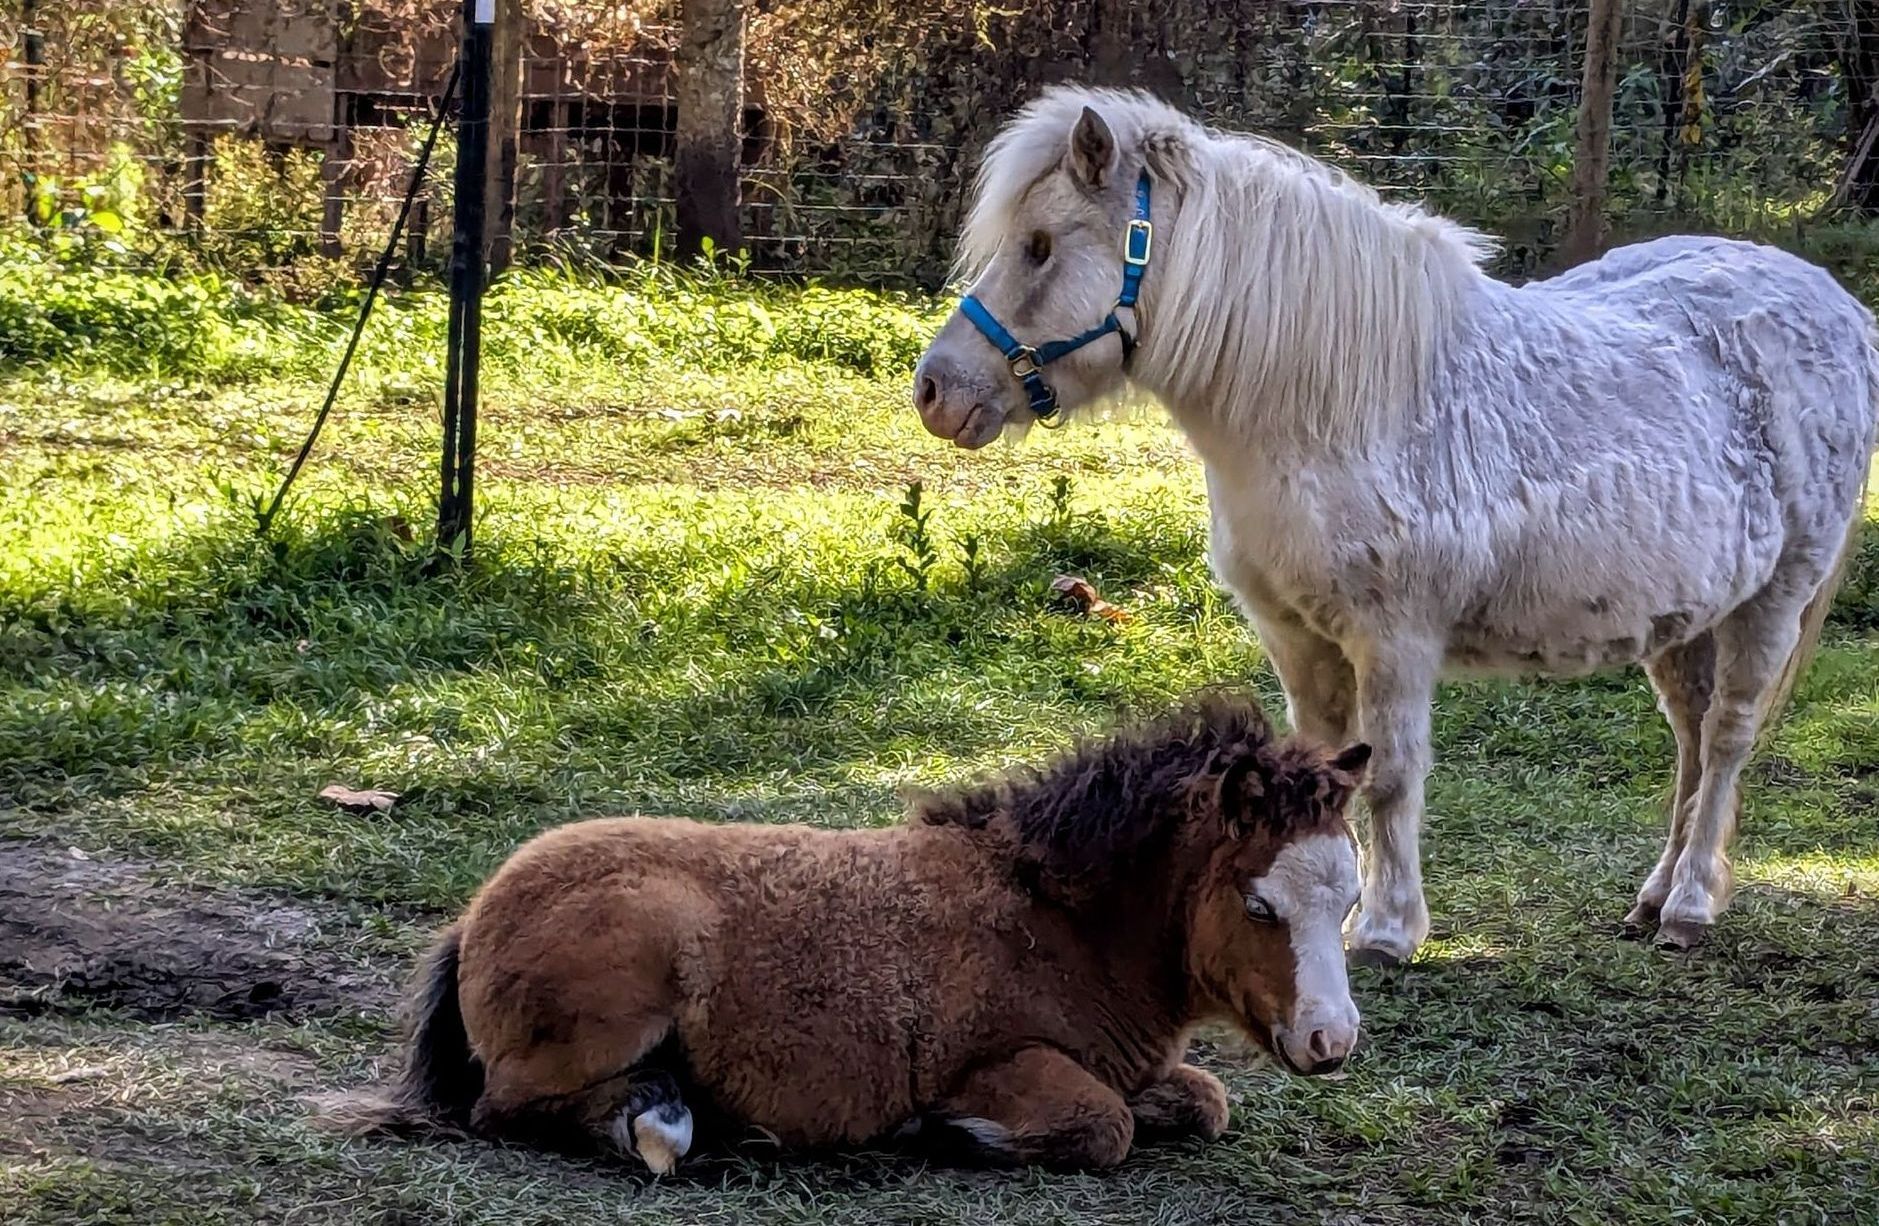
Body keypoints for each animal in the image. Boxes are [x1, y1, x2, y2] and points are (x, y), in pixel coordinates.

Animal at [321, 695, 1373, 1172]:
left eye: (1351, 901)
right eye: (1259, 907)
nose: (1330, 1042)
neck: (1055, 921)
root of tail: (476, 912)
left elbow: (1201, 1100)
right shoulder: (997, 1063)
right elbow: (1098, 1126)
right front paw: (946, 1133)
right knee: (502, 1112)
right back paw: (660, 1121)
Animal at [912, 86, 1877, 964]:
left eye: (1040, 246)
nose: (934, 390)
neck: (1334, 408)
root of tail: (1839, 307)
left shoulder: (1394, 639)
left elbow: (1389, 778)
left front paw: (1382, 930)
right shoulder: (1295, 637)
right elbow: (1314, 771)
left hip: (1773, 600)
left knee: (1726, 739)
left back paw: (1687, 906)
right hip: (1688, 619)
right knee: (1688, 742)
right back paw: (1651, 897)